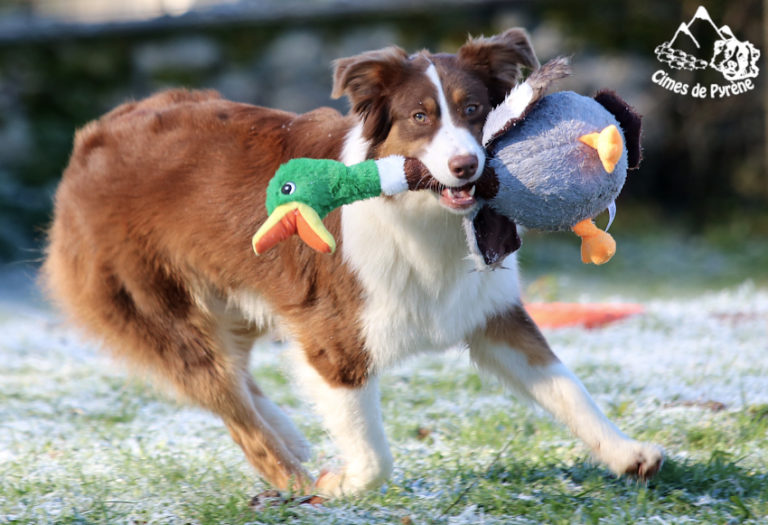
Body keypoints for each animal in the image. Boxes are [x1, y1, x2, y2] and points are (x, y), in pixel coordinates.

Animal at [42, 28, 663, 497]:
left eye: (475, 110)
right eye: (419, 117)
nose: (466, 167)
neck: (424, 218)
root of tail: (91, 136)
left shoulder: (491, 314)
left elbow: (567, 388)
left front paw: (627, 453)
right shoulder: (331, 339)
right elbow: (374, 456)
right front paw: (341, 485)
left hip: (235, 298)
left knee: (241, 383)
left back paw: (290, 437)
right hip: (164, 314)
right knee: (233, 409)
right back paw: (294, 479)